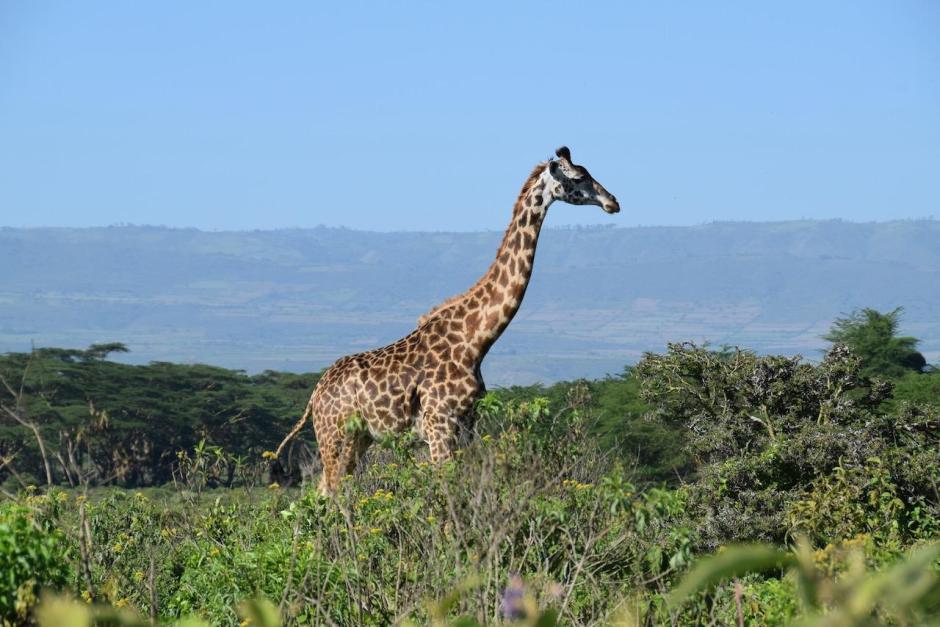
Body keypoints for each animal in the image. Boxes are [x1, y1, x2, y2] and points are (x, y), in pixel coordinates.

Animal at [275, 146, 619, 494]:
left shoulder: (466, 426)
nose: (612, 202)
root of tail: (315, 395)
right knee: (328, 492)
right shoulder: (439, 426)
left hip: (358, 438)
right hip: (335, 436)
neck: (475, 340)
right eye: (579, 177)